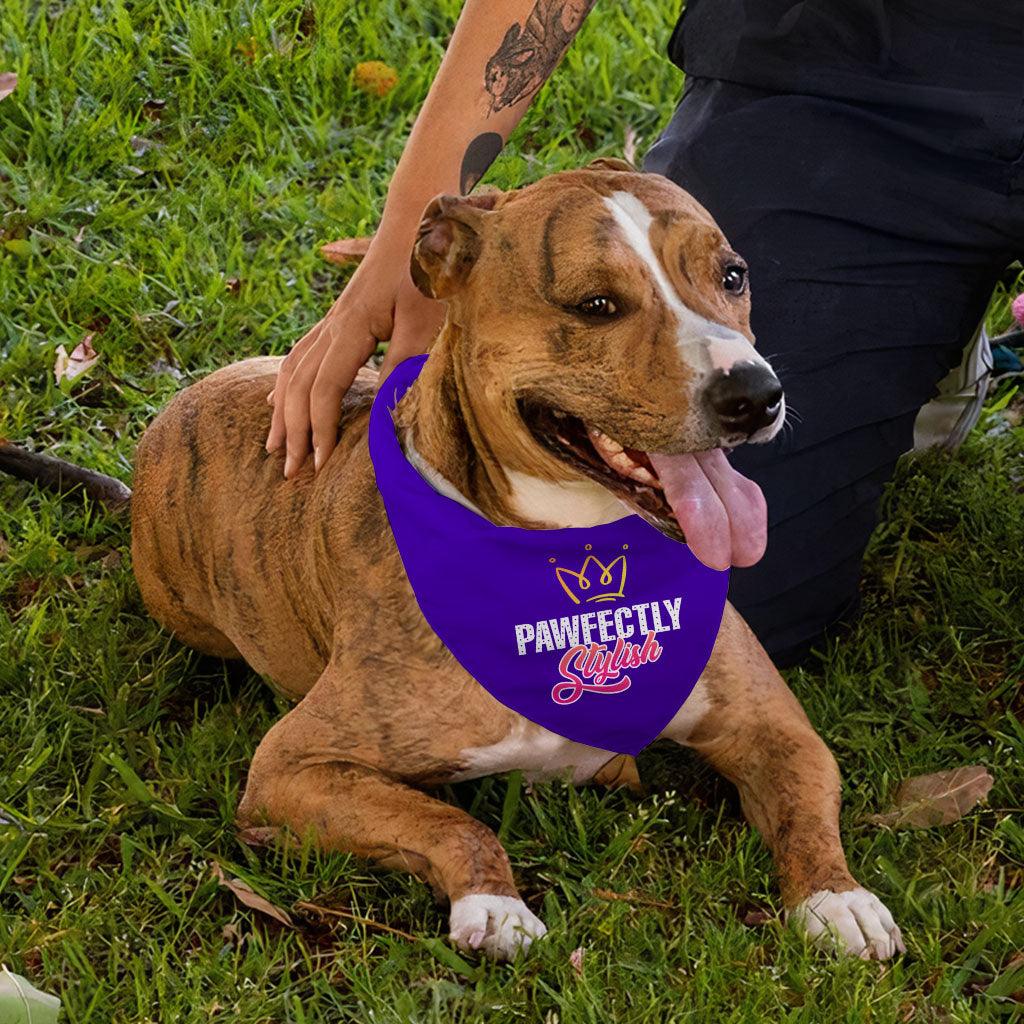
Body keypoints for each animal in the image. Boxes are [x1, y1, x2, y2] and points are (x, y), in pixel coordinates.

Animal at [8, 159, 905, 958]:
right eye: (596, 304)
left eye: (732, 275)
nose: (754, 394)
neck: (566, 560)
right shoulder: (293, 767)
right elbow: (451, 820)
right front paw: (494, 904)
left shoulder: (773, 726)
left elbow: (804, 808)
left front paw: (839, 897)